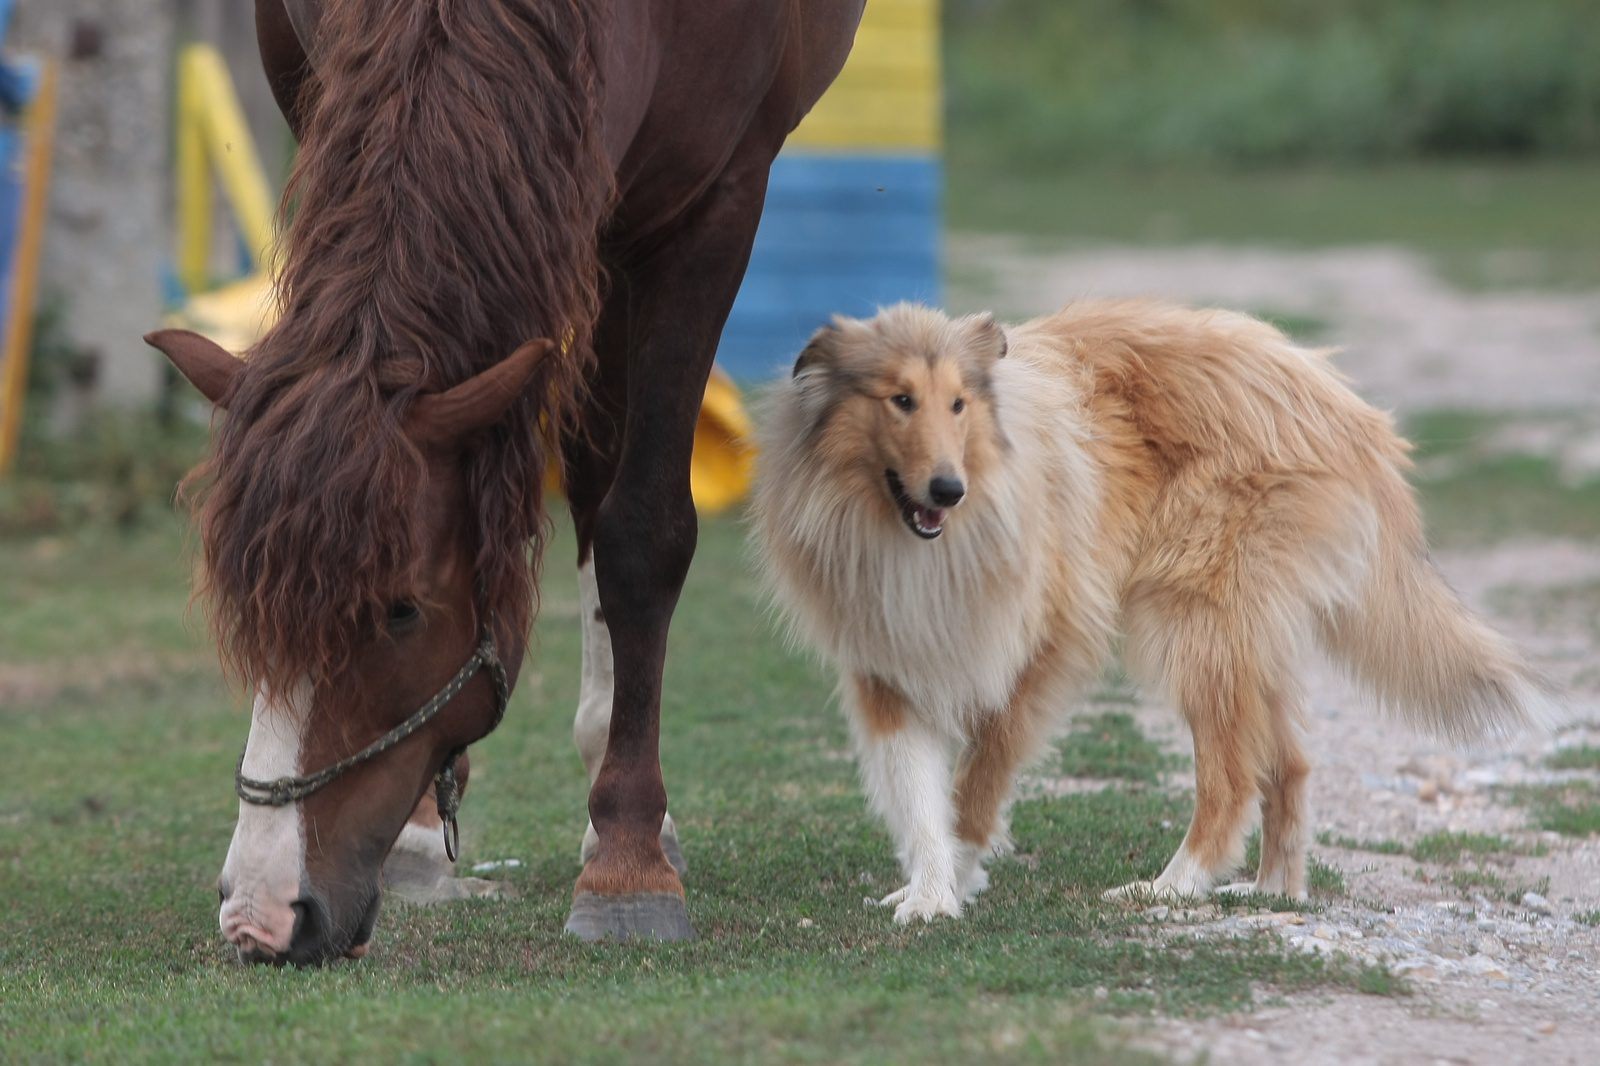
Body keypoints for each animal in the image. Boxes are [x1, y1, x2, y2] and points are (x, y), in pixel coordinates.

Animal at [748, 300, 1548, 921]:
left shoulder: (1046, 647)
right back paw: (1271, 893)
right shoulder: (885, 659)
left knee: (1231, 778)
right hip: (1249, 635)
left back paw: (1173, 886)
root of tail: (1336, 400)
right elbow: (917, 792)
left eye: (958, 403)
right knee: (1288, 763)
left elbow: (977, 779)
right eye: (900, 399)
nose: (948, 489)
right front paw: (929, 890)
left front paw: (958, 875)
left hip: (1191, 623)